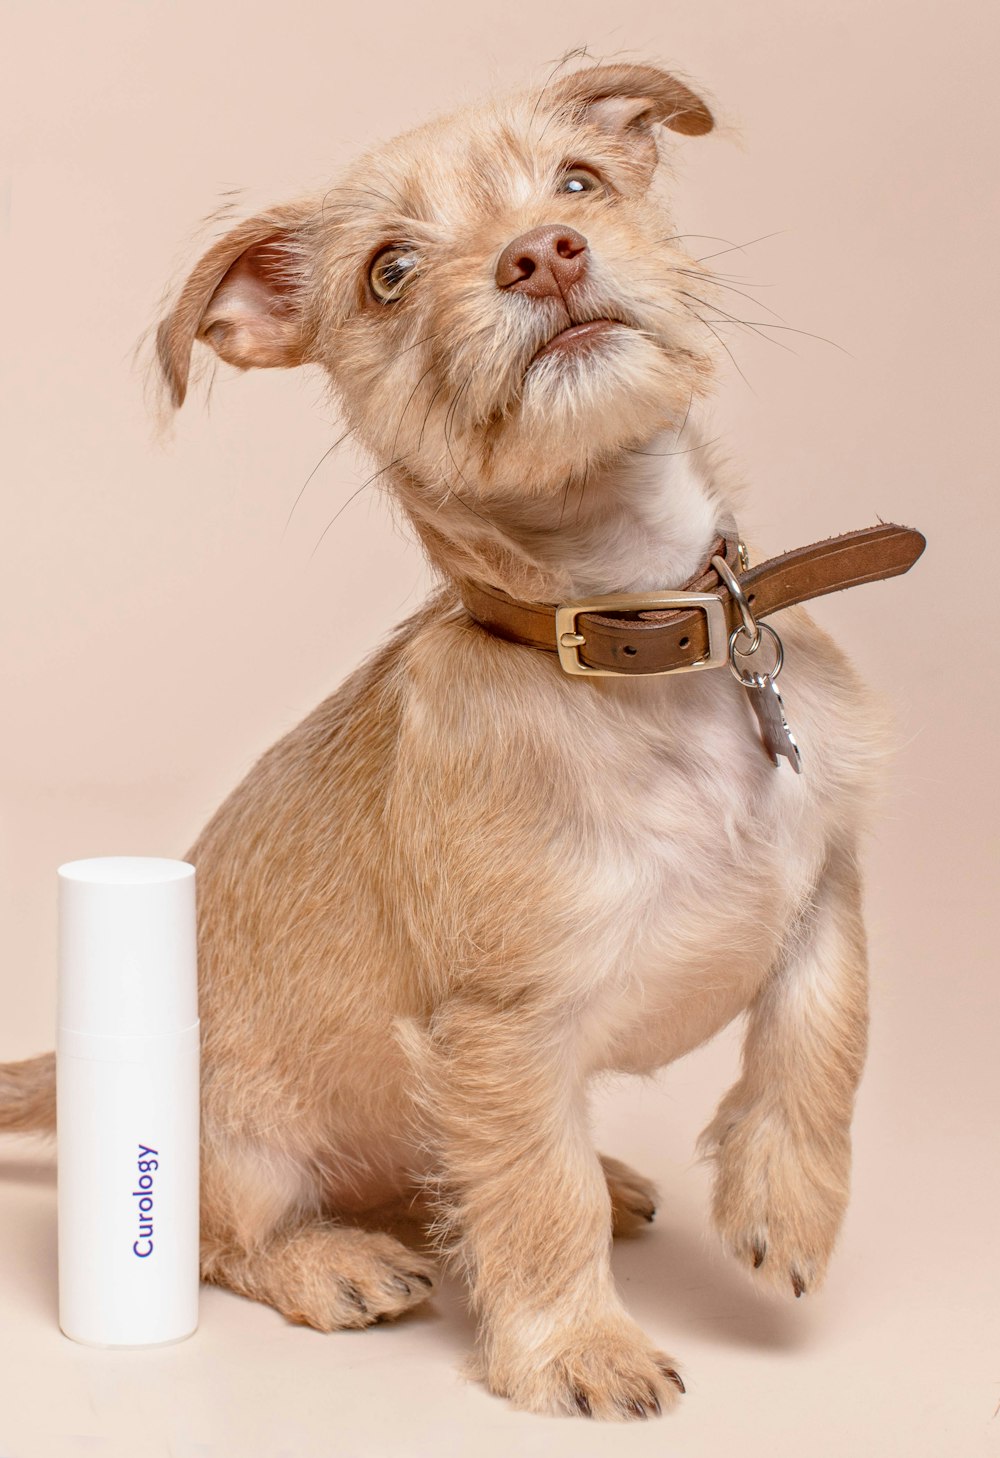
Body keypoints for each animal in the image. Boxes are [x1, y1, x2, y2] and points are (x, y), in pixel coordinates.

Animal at [5, 62, 886, 1417]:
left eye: (578, 181)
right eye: (388, 273)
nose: (542, 253)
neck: (631, 638)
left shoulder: (824, 882)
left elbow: (819, 1036)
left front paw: (783, 1203)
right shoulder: (502, 1028)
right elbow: (535, 1191)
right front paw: (579, 1347)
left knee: (440, 1184)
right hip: (234, 1148)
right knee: (227, 1234)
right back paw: (332, 1263)